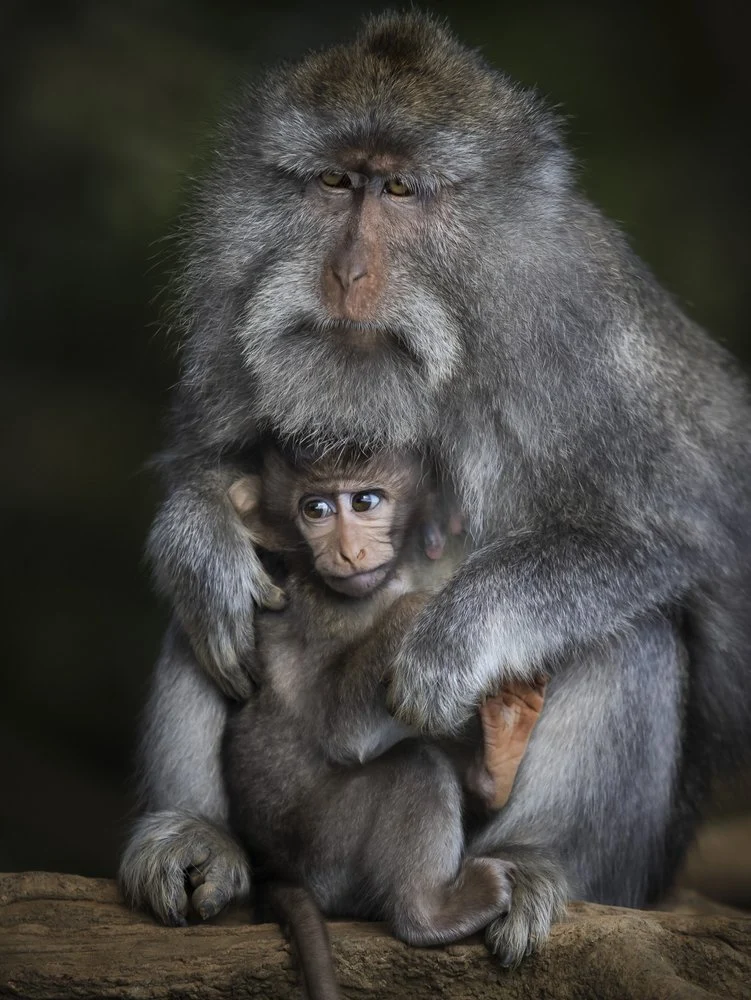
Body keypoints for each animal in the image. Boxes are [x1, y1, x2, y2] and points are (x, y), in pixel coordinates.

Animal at [120, 11, 751, 967]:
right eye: (337, 181)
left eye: (401, 190)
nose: (345, 273)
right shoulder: (229, 325)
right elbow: (210, 466)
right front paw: (199, 539)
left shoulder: (584, 347)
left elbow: (673, 536)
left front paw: (450, 641)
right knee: (211, 622)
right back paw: (197, 832)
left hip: (623, 874)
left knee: (631, 629)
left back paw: (528, 861)